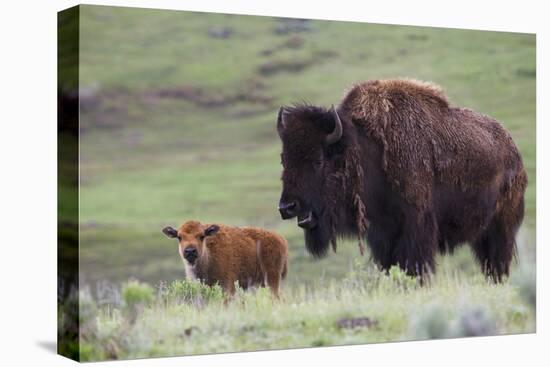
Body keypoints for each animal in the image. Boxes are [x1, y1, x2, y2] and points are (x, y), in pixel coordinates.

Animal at [278, 80, 528, 282]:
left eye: (318, 160)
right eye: (284, 160)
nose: (287, 207)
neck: (364, 150)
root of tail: (514, 153)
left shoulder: (415, 226)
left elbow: (414, 265)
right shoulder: (382, 234)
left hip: (500, 228)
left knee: (497, 262)